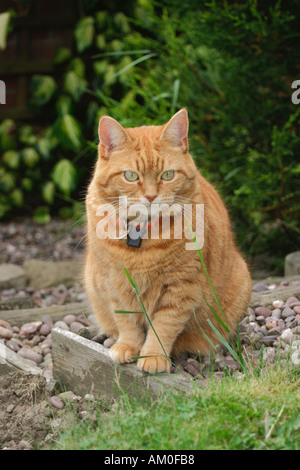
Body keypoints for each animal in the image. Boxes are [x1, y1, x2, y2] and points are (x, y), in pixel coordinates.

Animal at [84, 108, 251, 372]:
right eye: (131, 176)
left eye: (168, 175)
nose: (151, 196)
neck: (141, 236)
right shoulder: (114, 283)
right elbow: (126, 321)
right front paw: (128, 347)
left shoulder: (181, 287)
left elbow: (163, 326)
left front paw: (153, 356)